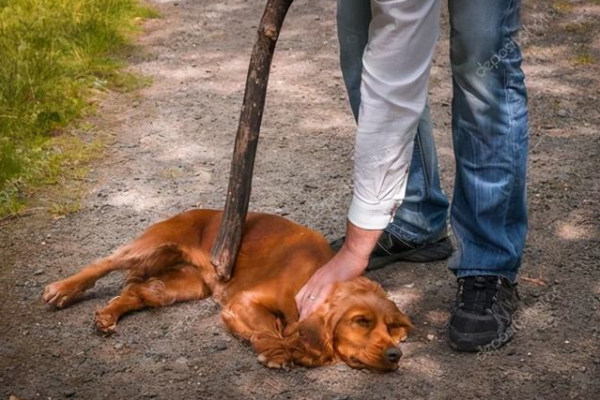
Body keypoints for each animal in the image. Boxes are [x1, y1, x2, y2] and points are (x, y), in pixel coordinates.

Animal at [42, 211, 412, 370]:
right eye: (361, 321)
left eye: (391, 328)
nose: (396, 355)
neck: (314, 273)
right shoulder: (244, 301)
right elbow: (272, 330)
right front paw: (280, 353)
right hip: (151, 244)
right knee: (102, 263)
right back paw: (62, 289)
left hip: (184, 285)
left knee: (140, 293)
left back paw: (106, 316)